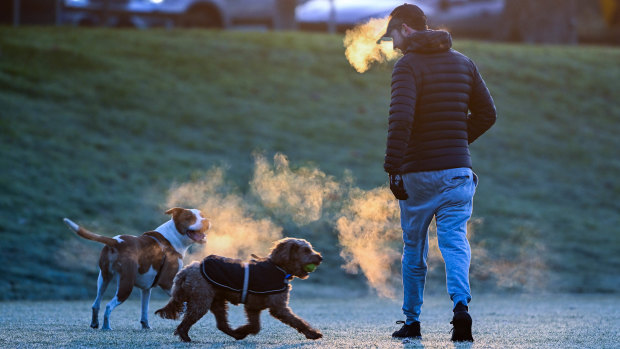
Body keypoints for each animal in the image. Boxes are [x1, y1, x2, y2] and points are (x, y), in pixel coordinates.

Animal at [63, 207, 209, 328]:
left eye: (202, 215)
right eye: (189, 217)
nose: (207, 221)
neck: (173, 237)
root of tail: (116, 242)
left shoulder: (146, 289)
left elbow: (144, 310)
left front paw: (146, 326)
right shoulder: (167, 282)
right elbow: (182, 300)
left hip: (103, 278)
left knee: (96, 304)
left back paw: (95, 324)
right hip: (126, 284)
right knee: (108, 306)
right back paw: (106, 327)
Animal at [154, 237, 324, 340]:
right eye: (306, 250)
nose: (320, 257)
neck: (278, 267)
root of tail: (186, 271)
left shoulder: (253, 307)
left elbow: (255, 326)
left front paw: (242, 331)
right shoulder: (278, 308)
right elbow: (297, 321)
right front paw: (313, 333)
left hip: (217, 301)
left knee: (221, 324)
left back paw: (235, 334)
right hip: (201, 301)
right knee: (185, 323)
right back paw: (187, 338)